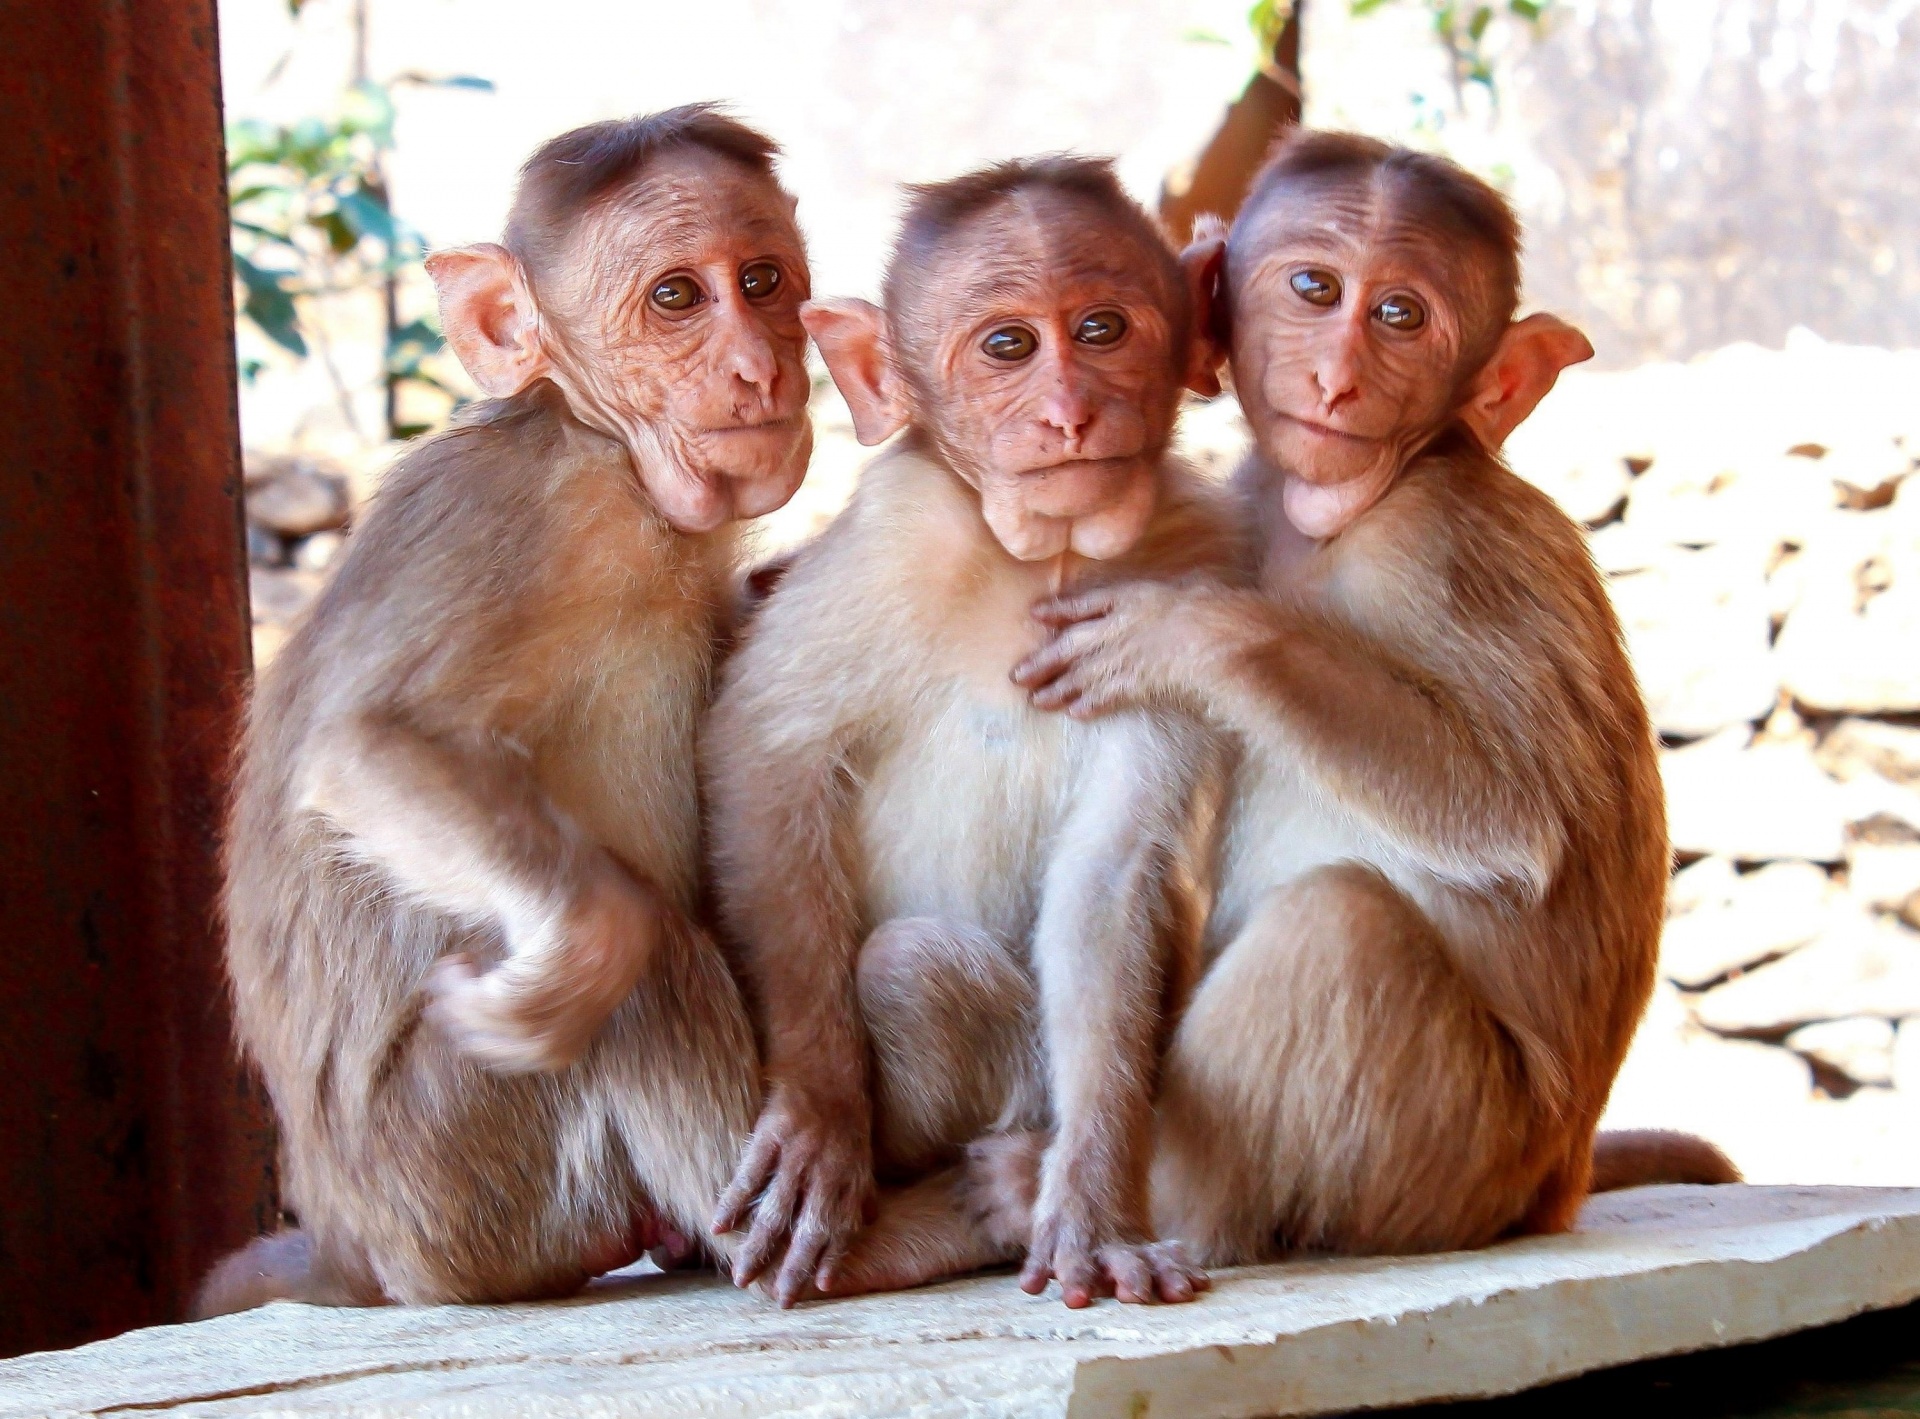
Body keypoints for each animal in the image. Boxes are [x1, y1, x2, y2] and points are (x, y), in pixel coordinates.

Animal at [195, 105, 813, 1314]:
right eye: (678, 297)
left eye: (762, 280)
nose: (760, 364)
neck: (601, 441)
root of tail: (354, 1247)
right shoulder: (529, 514)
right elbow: (364, 750)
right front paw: (583, 951)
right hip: (457, 1186)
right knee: (650, 958)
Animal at [701, 156, 1245, 1310]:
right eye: (1007, 347)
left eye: (1101, 328)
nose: (1070, 413)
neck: (1047, 561)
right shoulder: (896, 539)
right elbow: (767, 754)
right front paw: (818, 1110)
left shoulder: (1192, 578)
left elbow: (1109, 874)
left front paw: (1092, 1207)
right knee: (913, 966)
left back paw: (1012, 1186)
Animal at [1001, 130, 1736, 1266]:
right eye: (1315, 288)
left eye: (1401, 315)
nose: (1338, 382)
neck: (1343, 514)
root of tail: (1558, 1182)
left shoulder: (1435, 545)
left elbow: (1519, 819)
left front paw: (1193, 633)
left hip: (1458, 1152)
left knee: (1341, 928)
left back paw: (1148, 1203)